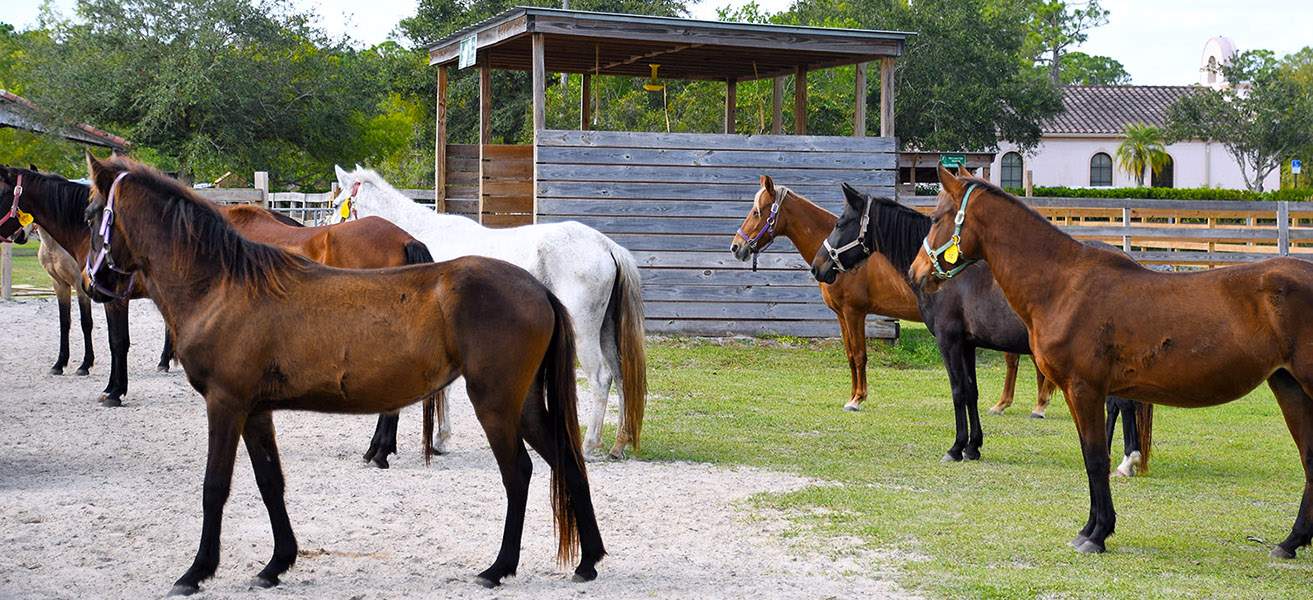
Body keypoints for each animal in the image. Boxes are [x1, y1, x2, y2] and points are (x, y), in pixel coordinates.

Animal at [76, 154, 601, 593]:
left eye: (90, 214)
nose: (93, 284)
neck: (224, 286)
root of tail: (538, 290)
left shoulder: (225, 404)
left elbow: (214, 487)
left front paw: (196, 572)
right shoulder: (255, 411)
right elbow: (270, 482)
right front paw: (276, 564)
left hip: (495, 403)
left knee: (519, 474)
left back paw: (498, 567)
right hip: (525, 405)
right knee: (567, 461)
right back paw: (588, 560)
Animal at [336, 164, 648, 459]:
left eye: (339, 204)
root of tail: (607, 246)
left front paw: (438, 439)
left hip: (585, 333)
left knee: (601, 379)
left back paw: (589, 445)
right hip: (607, 332)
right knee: (622, 377)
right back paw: (618, 445)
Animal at [730, 175, 1045, 417]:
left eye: (757, 212)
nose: (736, 247)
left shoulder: (855, 312)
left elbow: (859, 355)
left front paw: (857, 399)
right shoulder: (842, 316)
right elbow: (850, 355)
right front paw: (854, 395)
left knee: (1017, 359)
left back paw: (1034, 405)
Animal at [913, 164, 1313, 556]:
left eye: (935, 218)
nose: (917, 274)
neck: (1062, 286)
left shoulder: (1085, 389)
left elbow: (1095, 458)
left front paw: (1098, 534)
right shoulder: (1080, 392)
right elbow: (1091, 456)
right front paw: (1090, 528)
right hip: (1288, 385)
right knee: (1309, 457)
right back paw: (1291, 542)